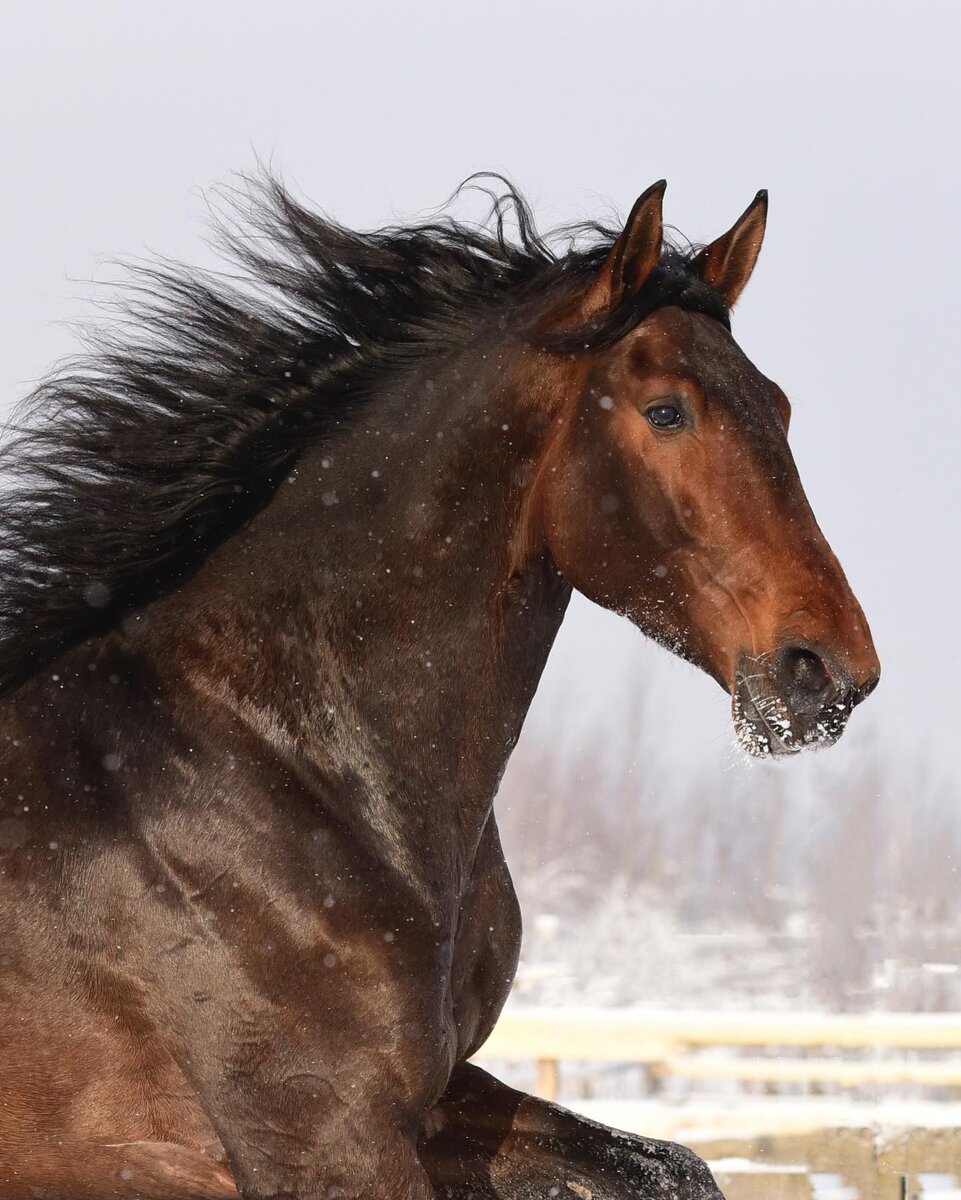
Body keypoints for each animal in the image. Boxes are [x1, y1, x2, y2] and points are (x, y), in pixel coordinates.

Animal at [0, 175, 878, 1200]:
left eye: (776, 405)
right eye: (666, 411)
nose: (828, 672)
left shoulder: (439, 1099)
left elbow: (670, 1165)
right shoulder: (329, 1139)